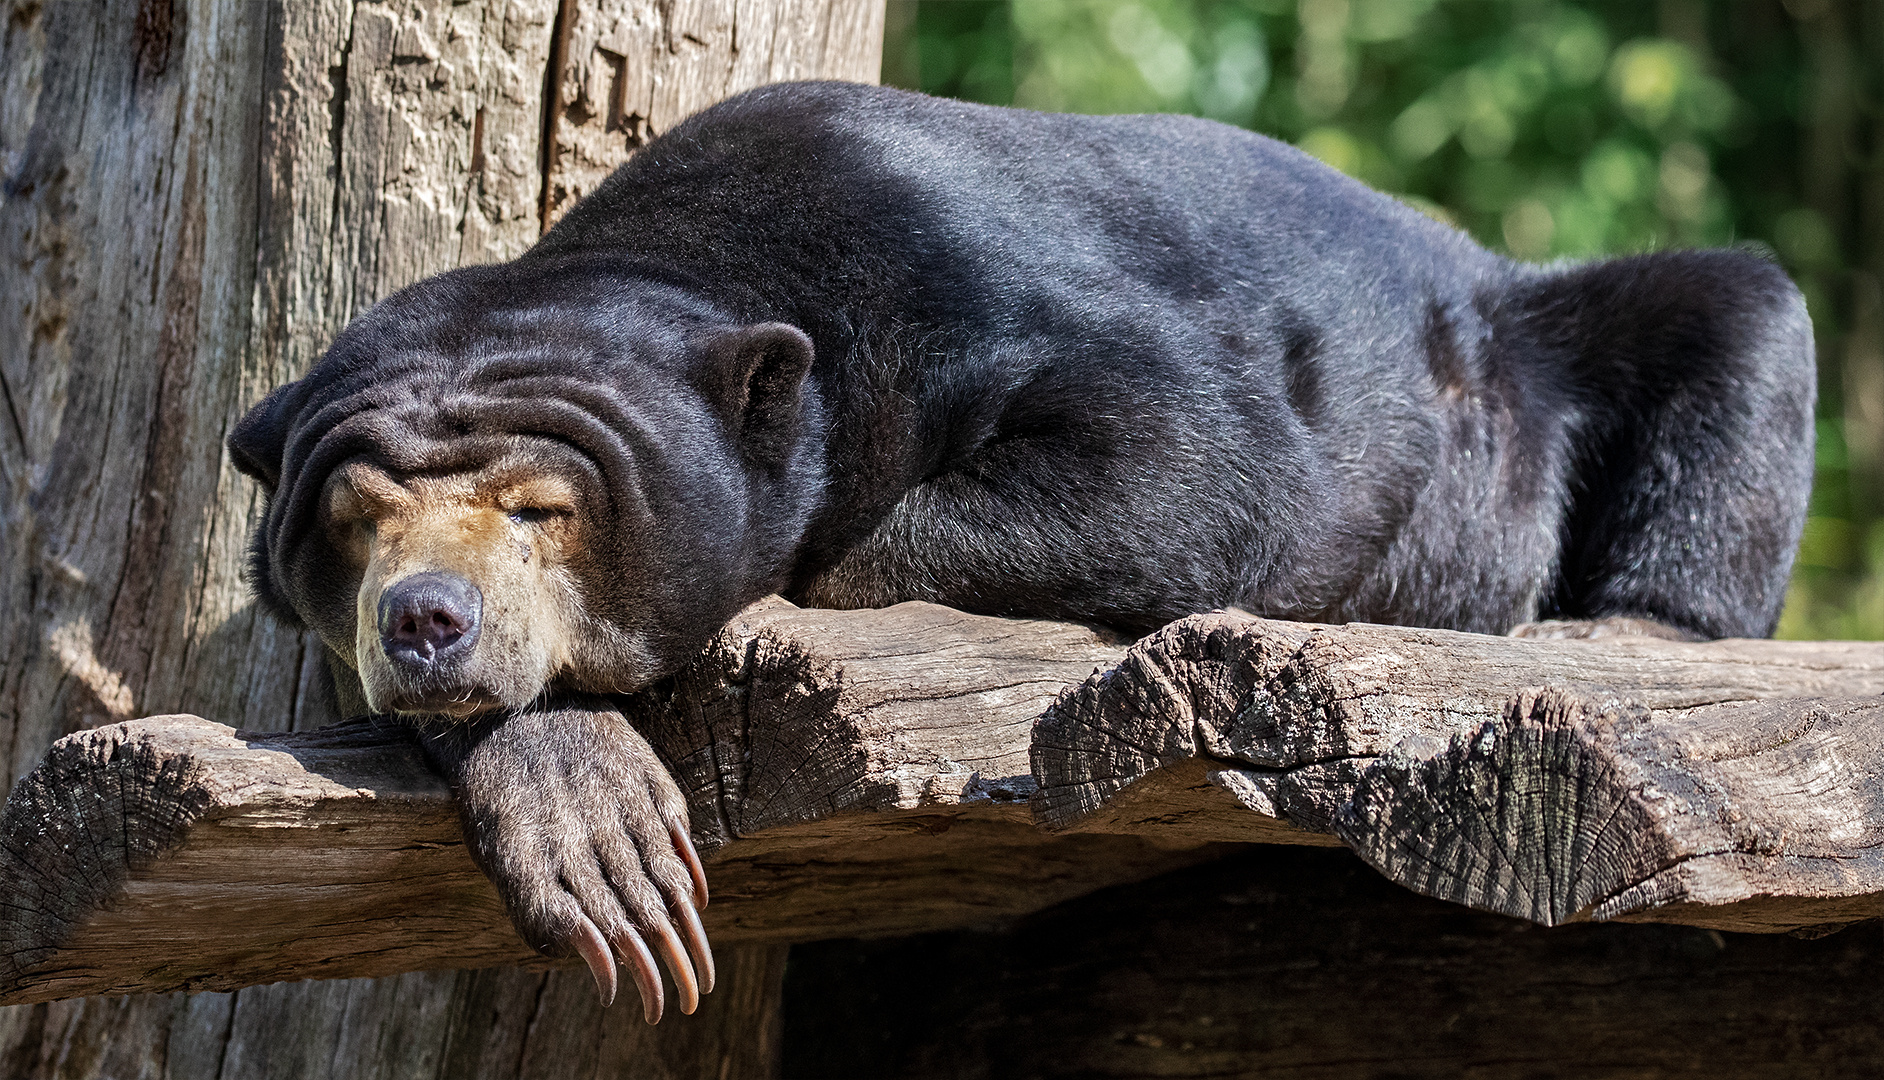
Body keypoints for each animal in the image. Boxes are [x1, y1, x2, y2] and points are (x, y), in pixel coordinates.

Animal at [227, 80, 1816, 1025]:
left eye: (544, 510)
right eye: (353, 522)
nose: (427, 617)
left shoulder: (986, 283)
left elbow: (1194, 465)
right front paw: (583, 808)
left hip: (1524, 351)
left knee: (1734, 302)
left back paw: (1634, 627)